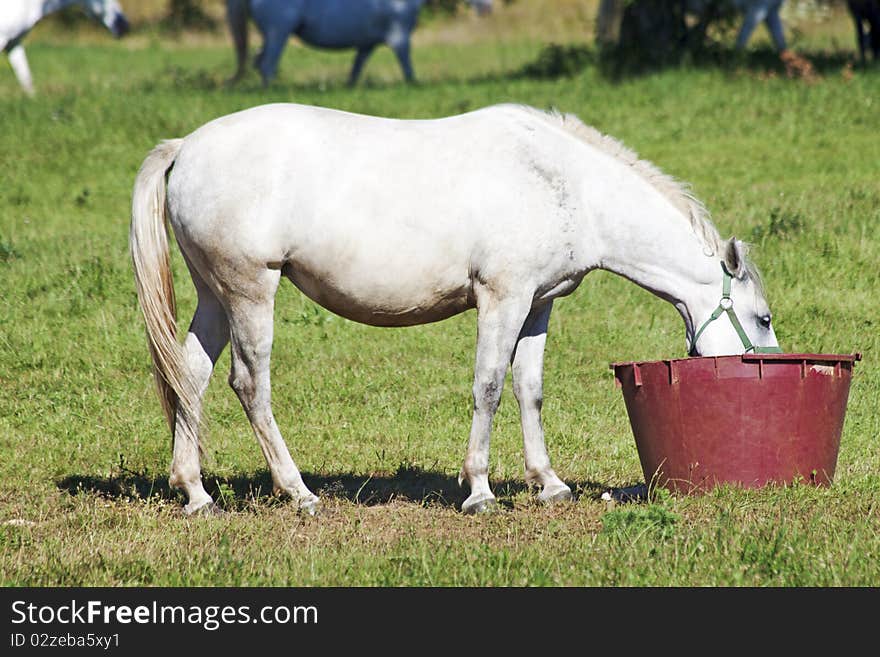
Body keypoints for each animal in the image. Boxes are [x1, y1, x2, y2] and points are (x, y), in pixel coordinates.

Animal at [129, 100, 776, 516]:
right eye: (764, 318)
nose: (768, 363)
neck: (566, 185)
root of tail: (187, 148)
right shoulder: (502, 299)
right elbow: (488, 386)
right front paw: (480, 490)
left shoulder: (535, 307)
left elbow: (529, 390)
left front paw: (549, 484)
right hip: (250, 292)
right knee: (249, 385)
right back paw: (299, 493)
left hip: (215, 297)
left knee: (190, 377)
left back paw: (196, 494)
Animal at [223, 0, 492, 86]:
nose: (488, 8)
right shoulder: (399, 35)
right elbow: (407, 65)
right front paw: (414, 85)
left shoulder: (367, 45)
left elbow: (356, 69)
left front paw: (350, 87)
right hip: (279, 30)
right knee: (267, 64)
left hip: (271, 34)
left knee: (258, 61)